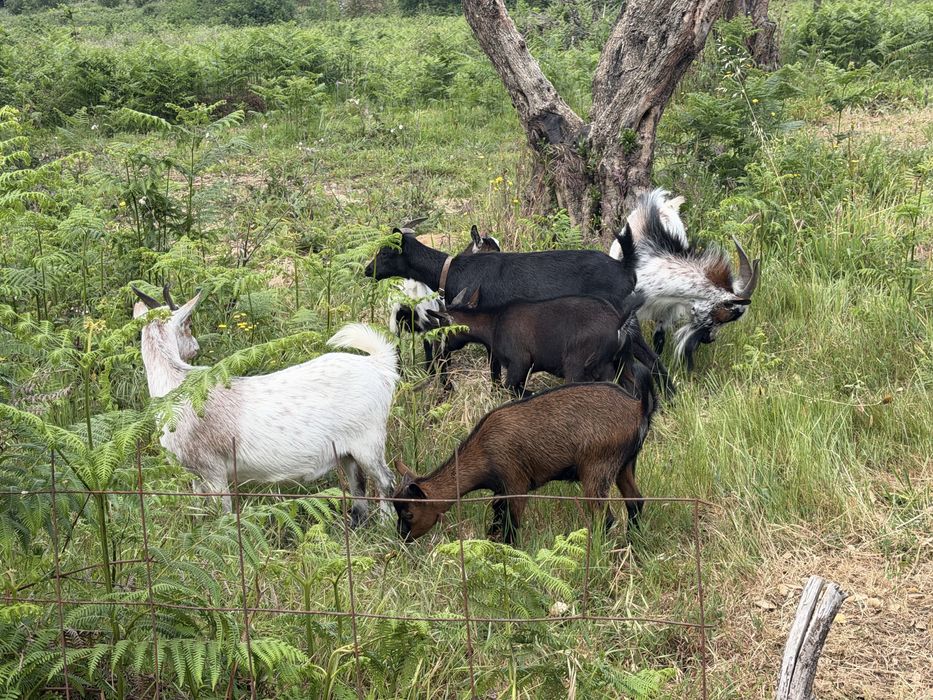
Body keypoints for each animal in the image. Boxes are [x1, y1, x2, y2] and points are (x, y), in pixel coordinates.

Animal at [131, 285, 399, 521]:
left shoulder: (213, 470)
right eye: (188, 326)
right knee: (358, 482)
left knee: (385, 481)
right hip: (346, 449)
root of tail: (377, 365)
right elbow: (199, 509)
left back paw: (386, 524)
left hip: (368, 441)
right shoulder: (193, 473)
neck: (177, 385)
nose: (195, 348)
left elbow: (222, 513)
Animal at [391, 375, 656, 544]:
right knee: (635, 501)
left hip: (597, 466)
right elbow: (496, 524)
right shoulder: (500, 491)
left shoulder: (516, 483)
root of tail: (639, 407)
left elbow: (511, 526)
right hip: (625, 465)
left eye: (408, 514)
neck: (484, 452)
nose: (402, 537)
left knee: (606, 517)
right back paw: (633, 545)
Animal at [426, 287, 646, 396]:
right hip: (620, 363)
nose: (440, 353)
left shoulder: (519, 362)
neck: (494, 322)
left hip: (578, 365)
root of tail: (619, 323)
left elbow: (512, 388)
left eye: (441, 327)